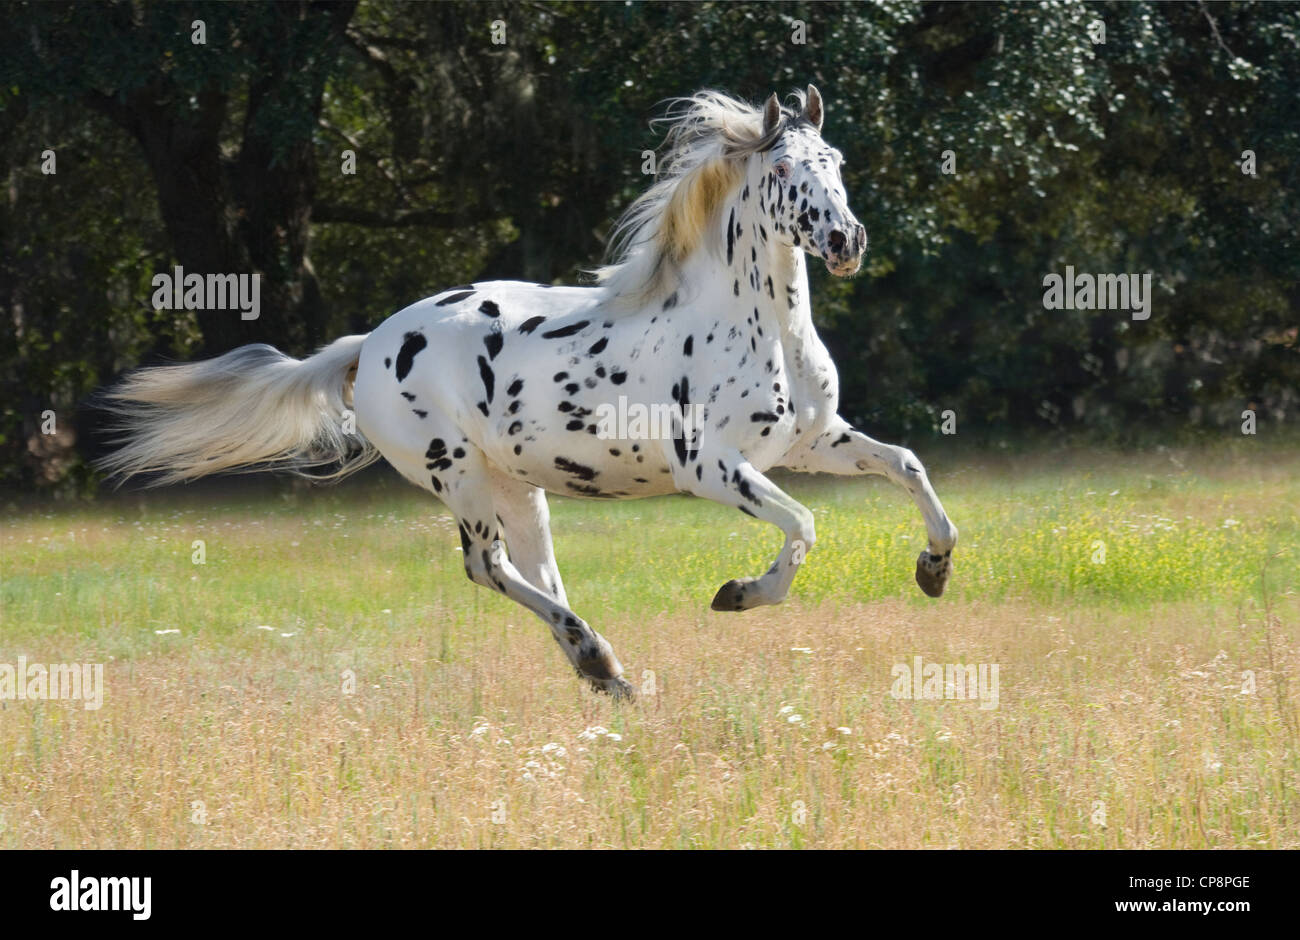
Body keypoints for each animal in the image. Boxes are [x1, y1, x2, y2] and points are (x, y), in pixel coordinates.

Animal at [98, 86, 956, 696]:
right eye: (781, 171)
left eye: (835, 161)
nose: (846, 240)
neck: (754, 327)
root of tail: (367, 346)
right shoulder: (712, 468)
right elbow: (804, 526)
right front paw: (738, 595)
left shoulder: (812, 441)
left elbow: (907, 465)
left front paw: (934, 571)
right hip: (459, 477)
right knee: (489, 568)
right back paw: (600, 660)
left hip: (518, 485)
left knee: (538, 575)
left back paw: (603, 668)